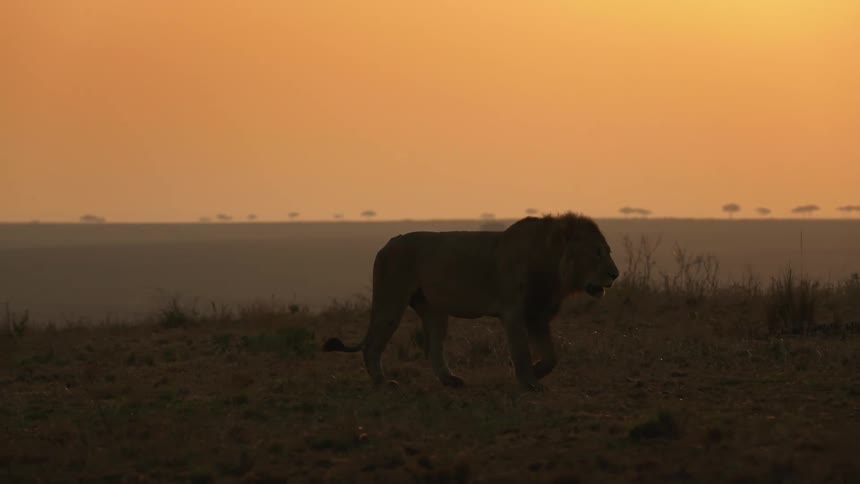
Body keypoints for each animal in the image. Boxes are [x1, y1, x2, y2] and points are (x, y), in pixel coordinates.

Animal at [323, 212, 619, 391]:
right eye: (596, 253)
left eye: (608, 251)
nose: (615, 274)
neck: (554, 267)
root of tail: (384, 246)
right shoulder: (514, 312)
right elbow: (521, 352)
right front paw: (528, 381)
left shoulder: (537, 315)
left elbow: (551, 357)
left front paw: (535, 373)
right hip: (391, 301)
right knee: (371, 345)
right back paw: (383, 382)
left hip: (434, 311)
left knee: (433, 348)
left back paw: (450, 380)